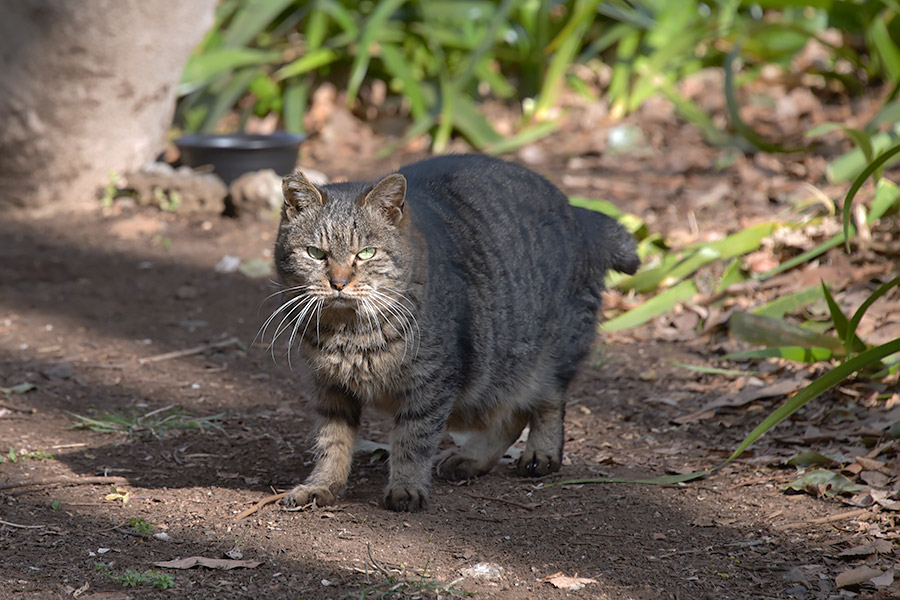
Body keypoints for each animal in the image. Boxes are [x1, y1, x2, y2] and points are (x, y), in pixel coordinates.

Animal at [268, 154, 640, 510]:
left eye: (366, 253)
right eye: (316, 253)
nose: (339, 282)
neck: (348, 334)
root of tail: (577, 213)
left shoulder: (430, 385)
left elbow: (413, 442)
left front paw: (406, 487)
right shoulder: (328, 388)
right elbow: (331, 443)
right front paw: (321, 485)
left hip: (547, 355)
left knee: (548, 401)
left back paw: (541, 453)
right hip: (505, 368)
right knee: (512, 414)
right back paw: (471, 458)